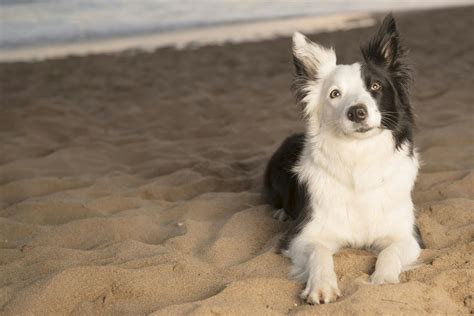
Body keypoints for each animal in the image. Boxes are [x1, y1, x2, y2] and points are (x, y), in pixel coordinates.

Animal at [262, 14, 422, 304]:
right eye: (335, 94)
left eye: (375, 86)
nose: (357, 112)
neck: (358, 156)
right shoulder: (303, 236)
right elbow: (320, 253)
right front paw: (322, 286)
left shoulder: (408, 235)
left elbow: (389, 252)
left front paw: (384, 280)